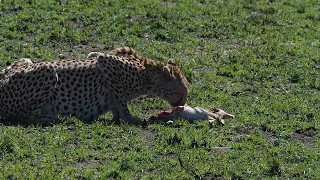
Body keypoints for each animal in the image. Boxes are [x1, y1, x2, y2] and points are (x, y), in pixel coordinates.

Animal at [0, 47, 190, 124]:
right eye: (183, 91)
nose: (183, 103)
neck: (146, 74)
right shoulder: (106, 63)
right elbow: (121, 101)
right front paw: (130, 118)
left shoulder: (96, 56)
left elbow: (115, 102)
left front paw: (116, 117)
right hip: (48, 70)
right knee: (23, 115)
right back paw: (57, 117)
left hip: (26, 60)